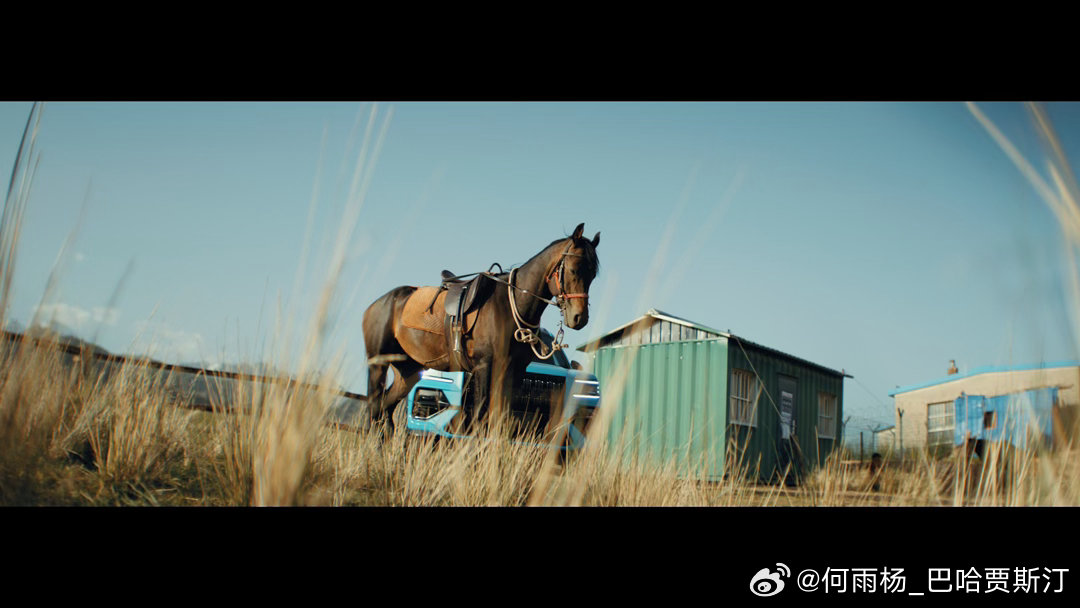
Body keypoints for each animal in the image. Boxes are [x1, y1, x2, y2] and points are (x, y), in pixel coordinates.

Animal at [361, 222, 600, 433]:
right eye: (573, 269)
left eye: (593, 275)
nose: (579, 318)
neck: (509, 305)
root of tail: (376, 305)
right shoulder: (485, 366)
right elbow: (479, 417)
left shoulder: (512, 372)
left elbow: (500, 419)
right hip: (378, 365)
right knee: (374, 409)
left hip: (407, 372)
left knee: (385, 411)